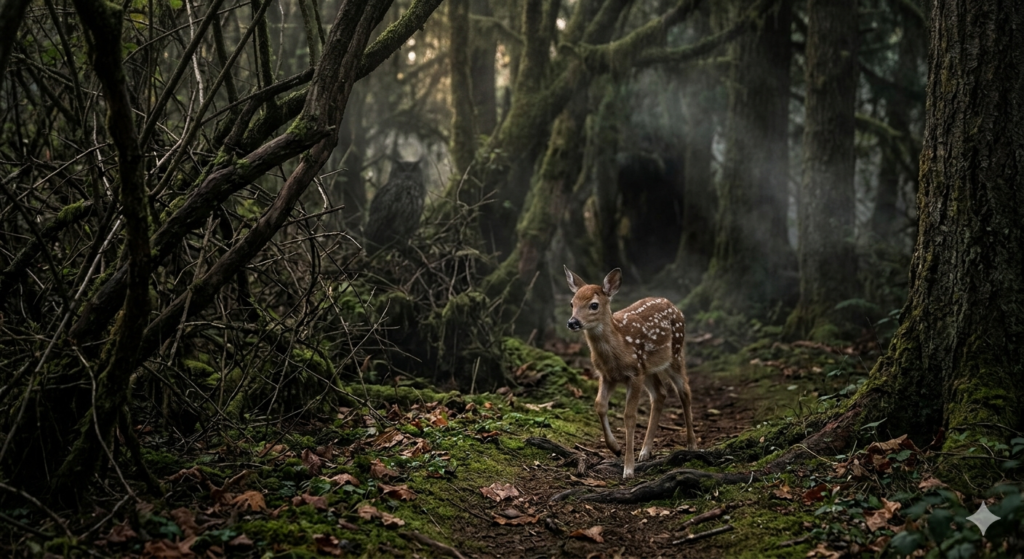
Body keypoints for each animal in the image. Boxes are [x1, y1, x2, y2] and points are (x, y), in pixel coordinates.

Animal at [563, 266, 696, 479]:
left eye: (594, 305)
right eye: (572, 303)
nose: (572, 322)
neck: (619, 346)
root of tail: (673, 305)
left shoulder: (634, 374)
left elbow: (629, 416)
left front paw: (628, 469)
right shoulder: (607, 375)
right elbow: (599, 405)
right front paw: (615, 448)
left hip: (675, 354)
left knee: (684, 391)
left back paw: (692, 444)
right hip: (648, 368)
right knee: (660, 393)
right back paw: (645, 451)